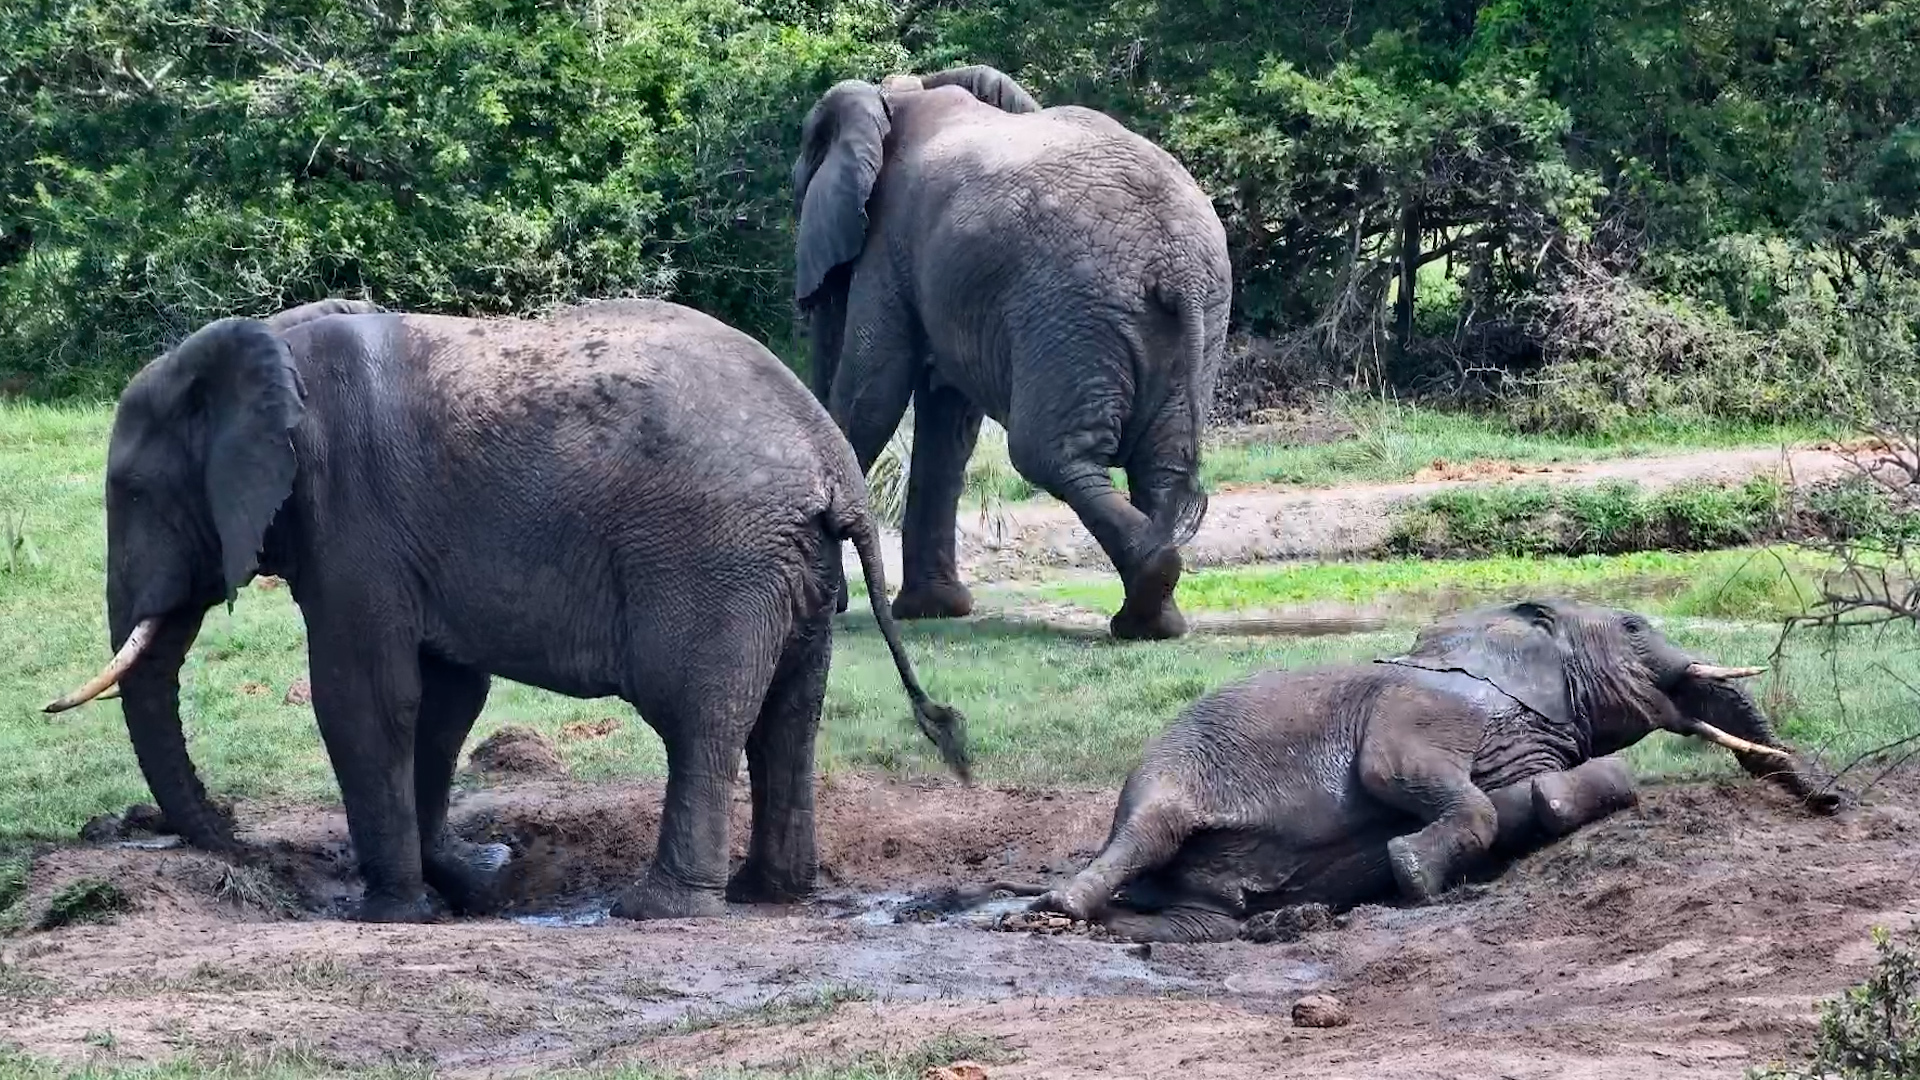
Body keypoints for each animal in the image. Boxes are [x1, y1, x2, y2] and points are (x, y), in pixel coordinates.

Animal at [46, 297, 970, 923]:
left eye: (133, 493)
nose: (239, 839)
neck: (268, 343)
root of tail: (831, 460)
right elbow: (444, 701)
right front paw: (467, 884)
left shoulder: (350, 524)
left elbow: (365, 698)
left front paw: (394, 912)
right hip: (794, 568)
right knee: (788, 715)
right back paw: (766, 893)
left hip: (717, 559)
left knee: (698, 716)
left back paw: (657, 908)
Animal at [792, 64, 1234, 640]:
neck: (904, 93)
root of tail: (1176, 264)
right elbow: (946, 421)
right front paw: (935, 611)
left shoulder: (890, 242)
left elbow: (875, 395)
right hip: (1190, 319)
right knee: (1160, 462)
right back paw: (1152, 618)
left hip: (1071, 307)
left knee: (1046, 452)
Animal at [1030, 600, 1842, 942]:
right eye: (1635, 627)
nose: (1835, 802)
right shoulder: (1428, 709)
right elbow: (1391, 773)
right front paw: (1415, 877)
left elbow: (1595, 782)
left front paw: (1530, 812)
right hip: (1171, 764)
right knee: (1146, 830)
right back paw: (1051, 912)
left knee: (1190, 923)